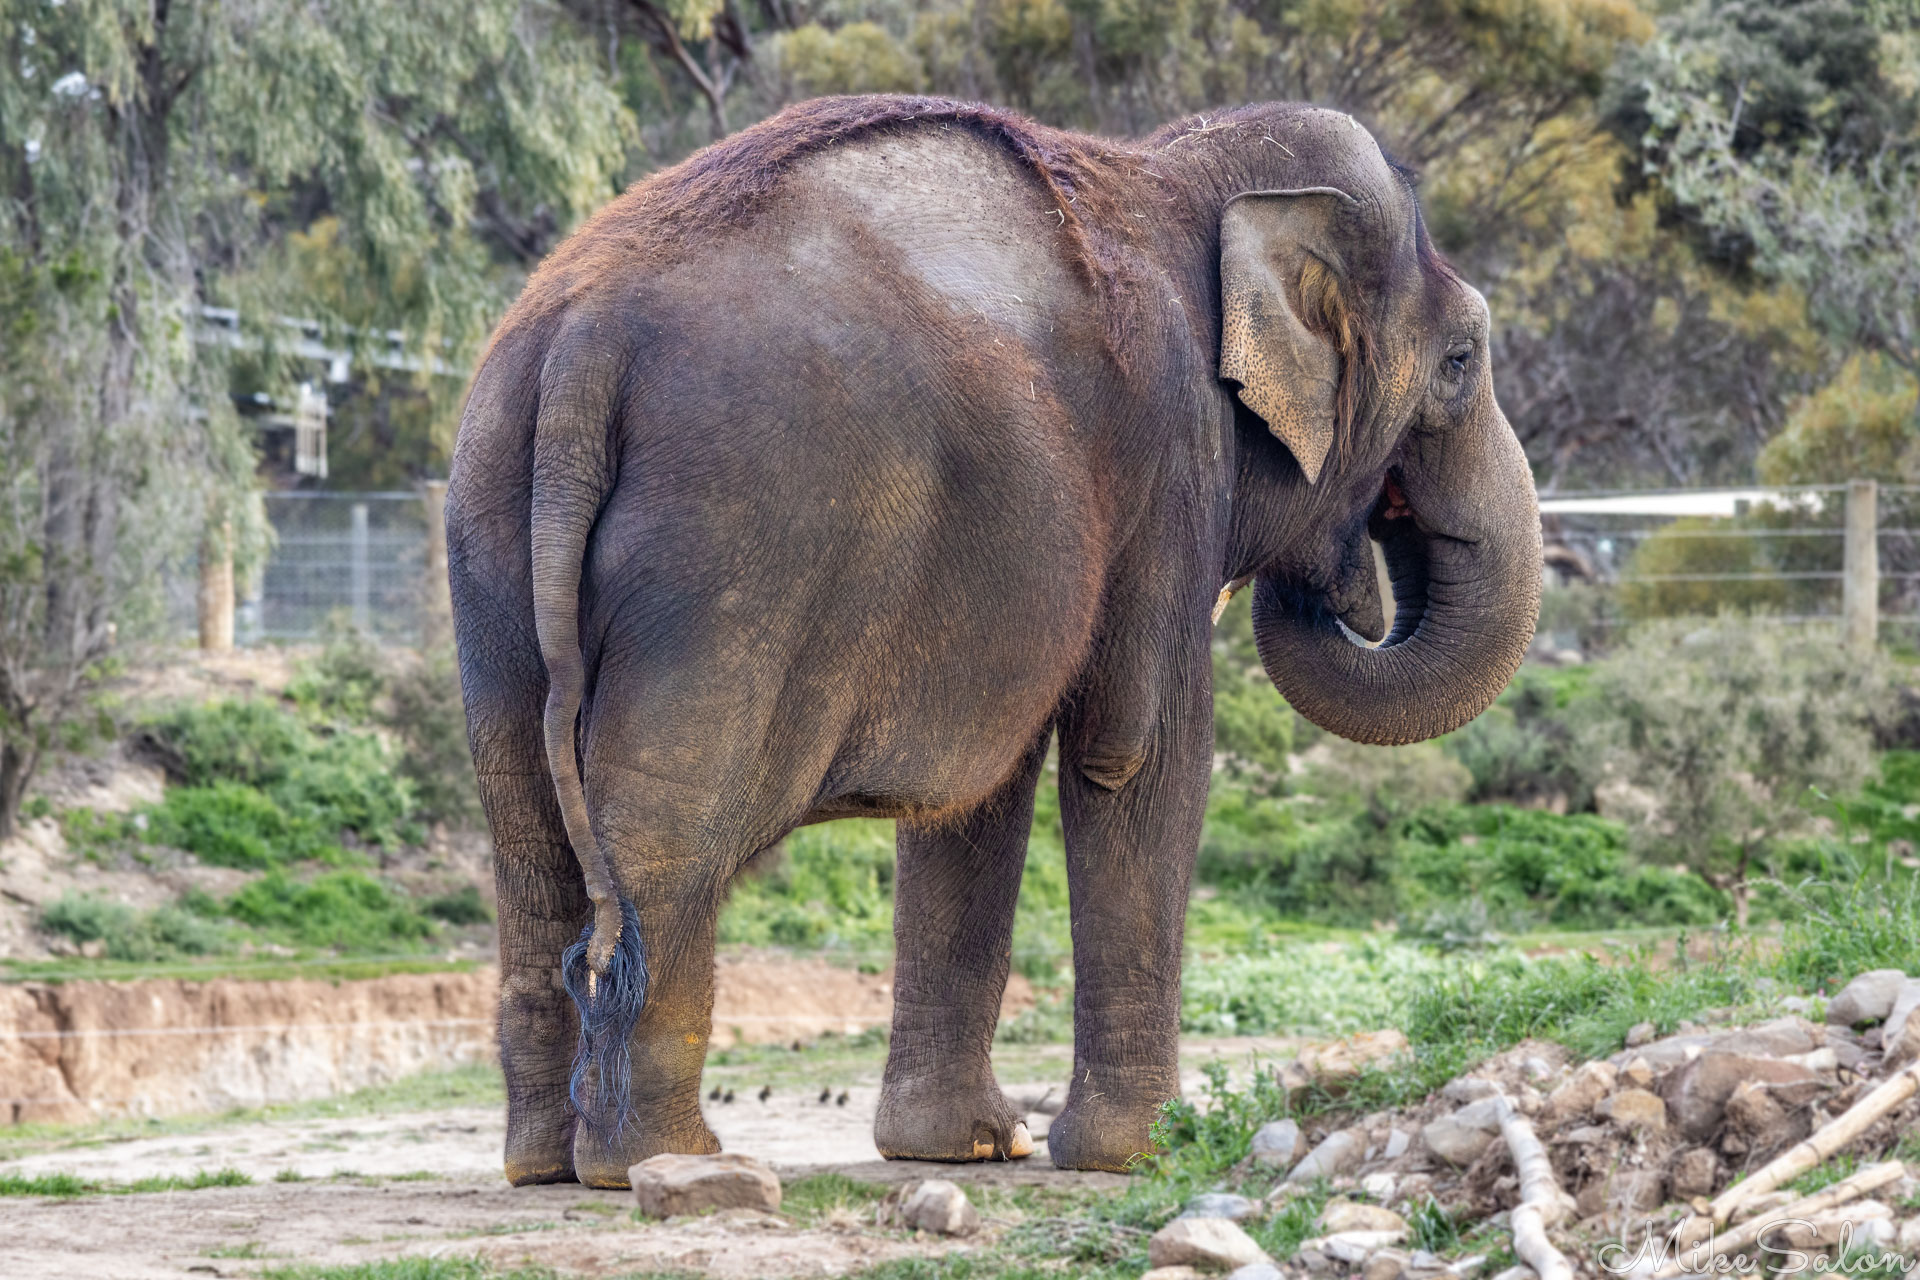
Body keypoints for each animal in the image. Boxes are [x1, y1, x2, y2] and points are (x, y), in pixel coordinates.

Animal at [446, 93, 1541, 1186]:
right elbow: (1132, 756)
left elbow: (977, 796)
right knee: (665, 814)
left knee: (524, 820)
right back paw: (658, 1161)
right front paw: (1146, 1152)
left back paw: (547, 1164)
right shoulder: (1173, 463)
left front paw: (964, 1147)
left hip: (491, 514)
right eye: (1461, 360)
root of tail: (583, 342)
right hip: (721, 536)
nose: (1344, 579)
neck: (1181, 171)